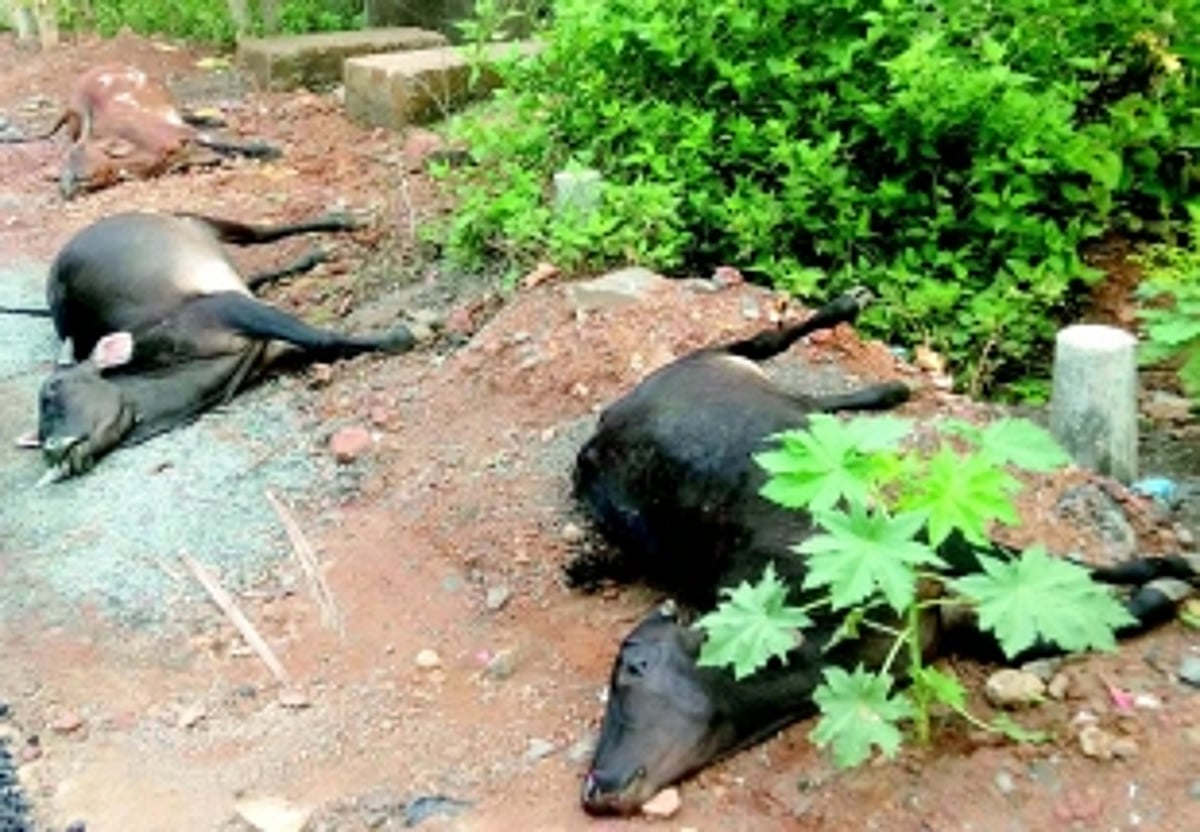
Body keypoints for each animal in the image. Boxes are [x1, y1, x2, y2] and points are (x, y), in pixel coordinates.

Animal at [0, 63, 280, 198]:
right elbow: (206, 156)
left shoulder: (180, 132)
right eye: (61, 177)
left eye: (78, 175)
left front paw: (268, 149)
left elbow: (227, 142)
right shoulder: (179, 154)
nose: (66, 192)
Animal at [22, 210, 416, 484]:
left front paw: (400, 335)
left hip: (194, 221)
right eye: (38, 440)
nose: (53, 452)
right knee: (255, 275)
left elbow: (321, 337)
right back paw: (309, 258)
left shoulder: (229, 309)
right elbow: (319, 347)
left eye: (52, 391)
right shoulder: (262, 347)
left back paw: (342, 222)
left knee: (257, 233)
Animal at [568, 288, 1198, 815]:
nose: (596, 785)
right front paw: (1158, 596)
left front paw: (1171, 568)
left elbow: (1071, 572)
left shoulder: (948, 551)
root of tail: (606, 425)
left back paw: (853, 316)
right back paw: (886, 389)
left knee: (763, 343)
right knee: (803, 395)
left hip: (705, 361)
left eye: (631, 669)